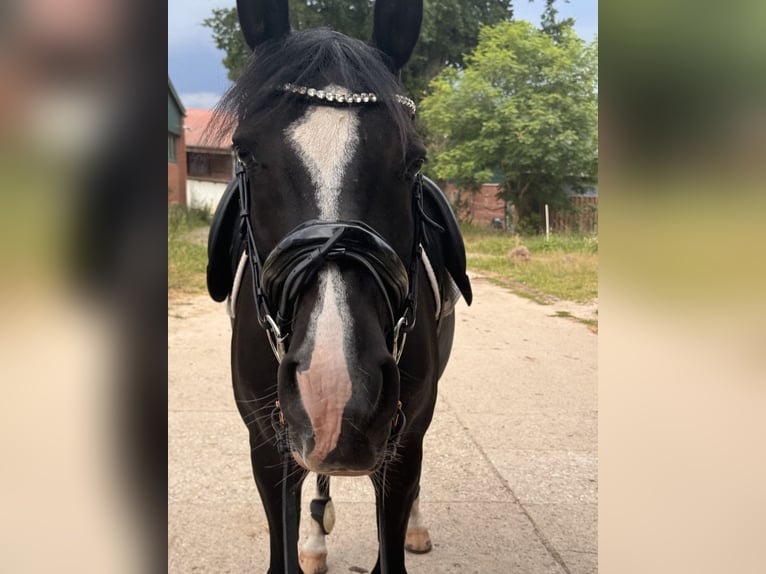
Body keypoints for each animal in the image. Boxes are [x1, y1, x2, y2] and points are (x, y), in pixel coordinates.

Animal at [208, 2, 474, 572]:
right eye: (245, 153)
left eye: (414, 160)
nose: (335, 395)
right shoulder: (267, 450)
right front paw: (307, 540)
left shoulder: (403, 445)